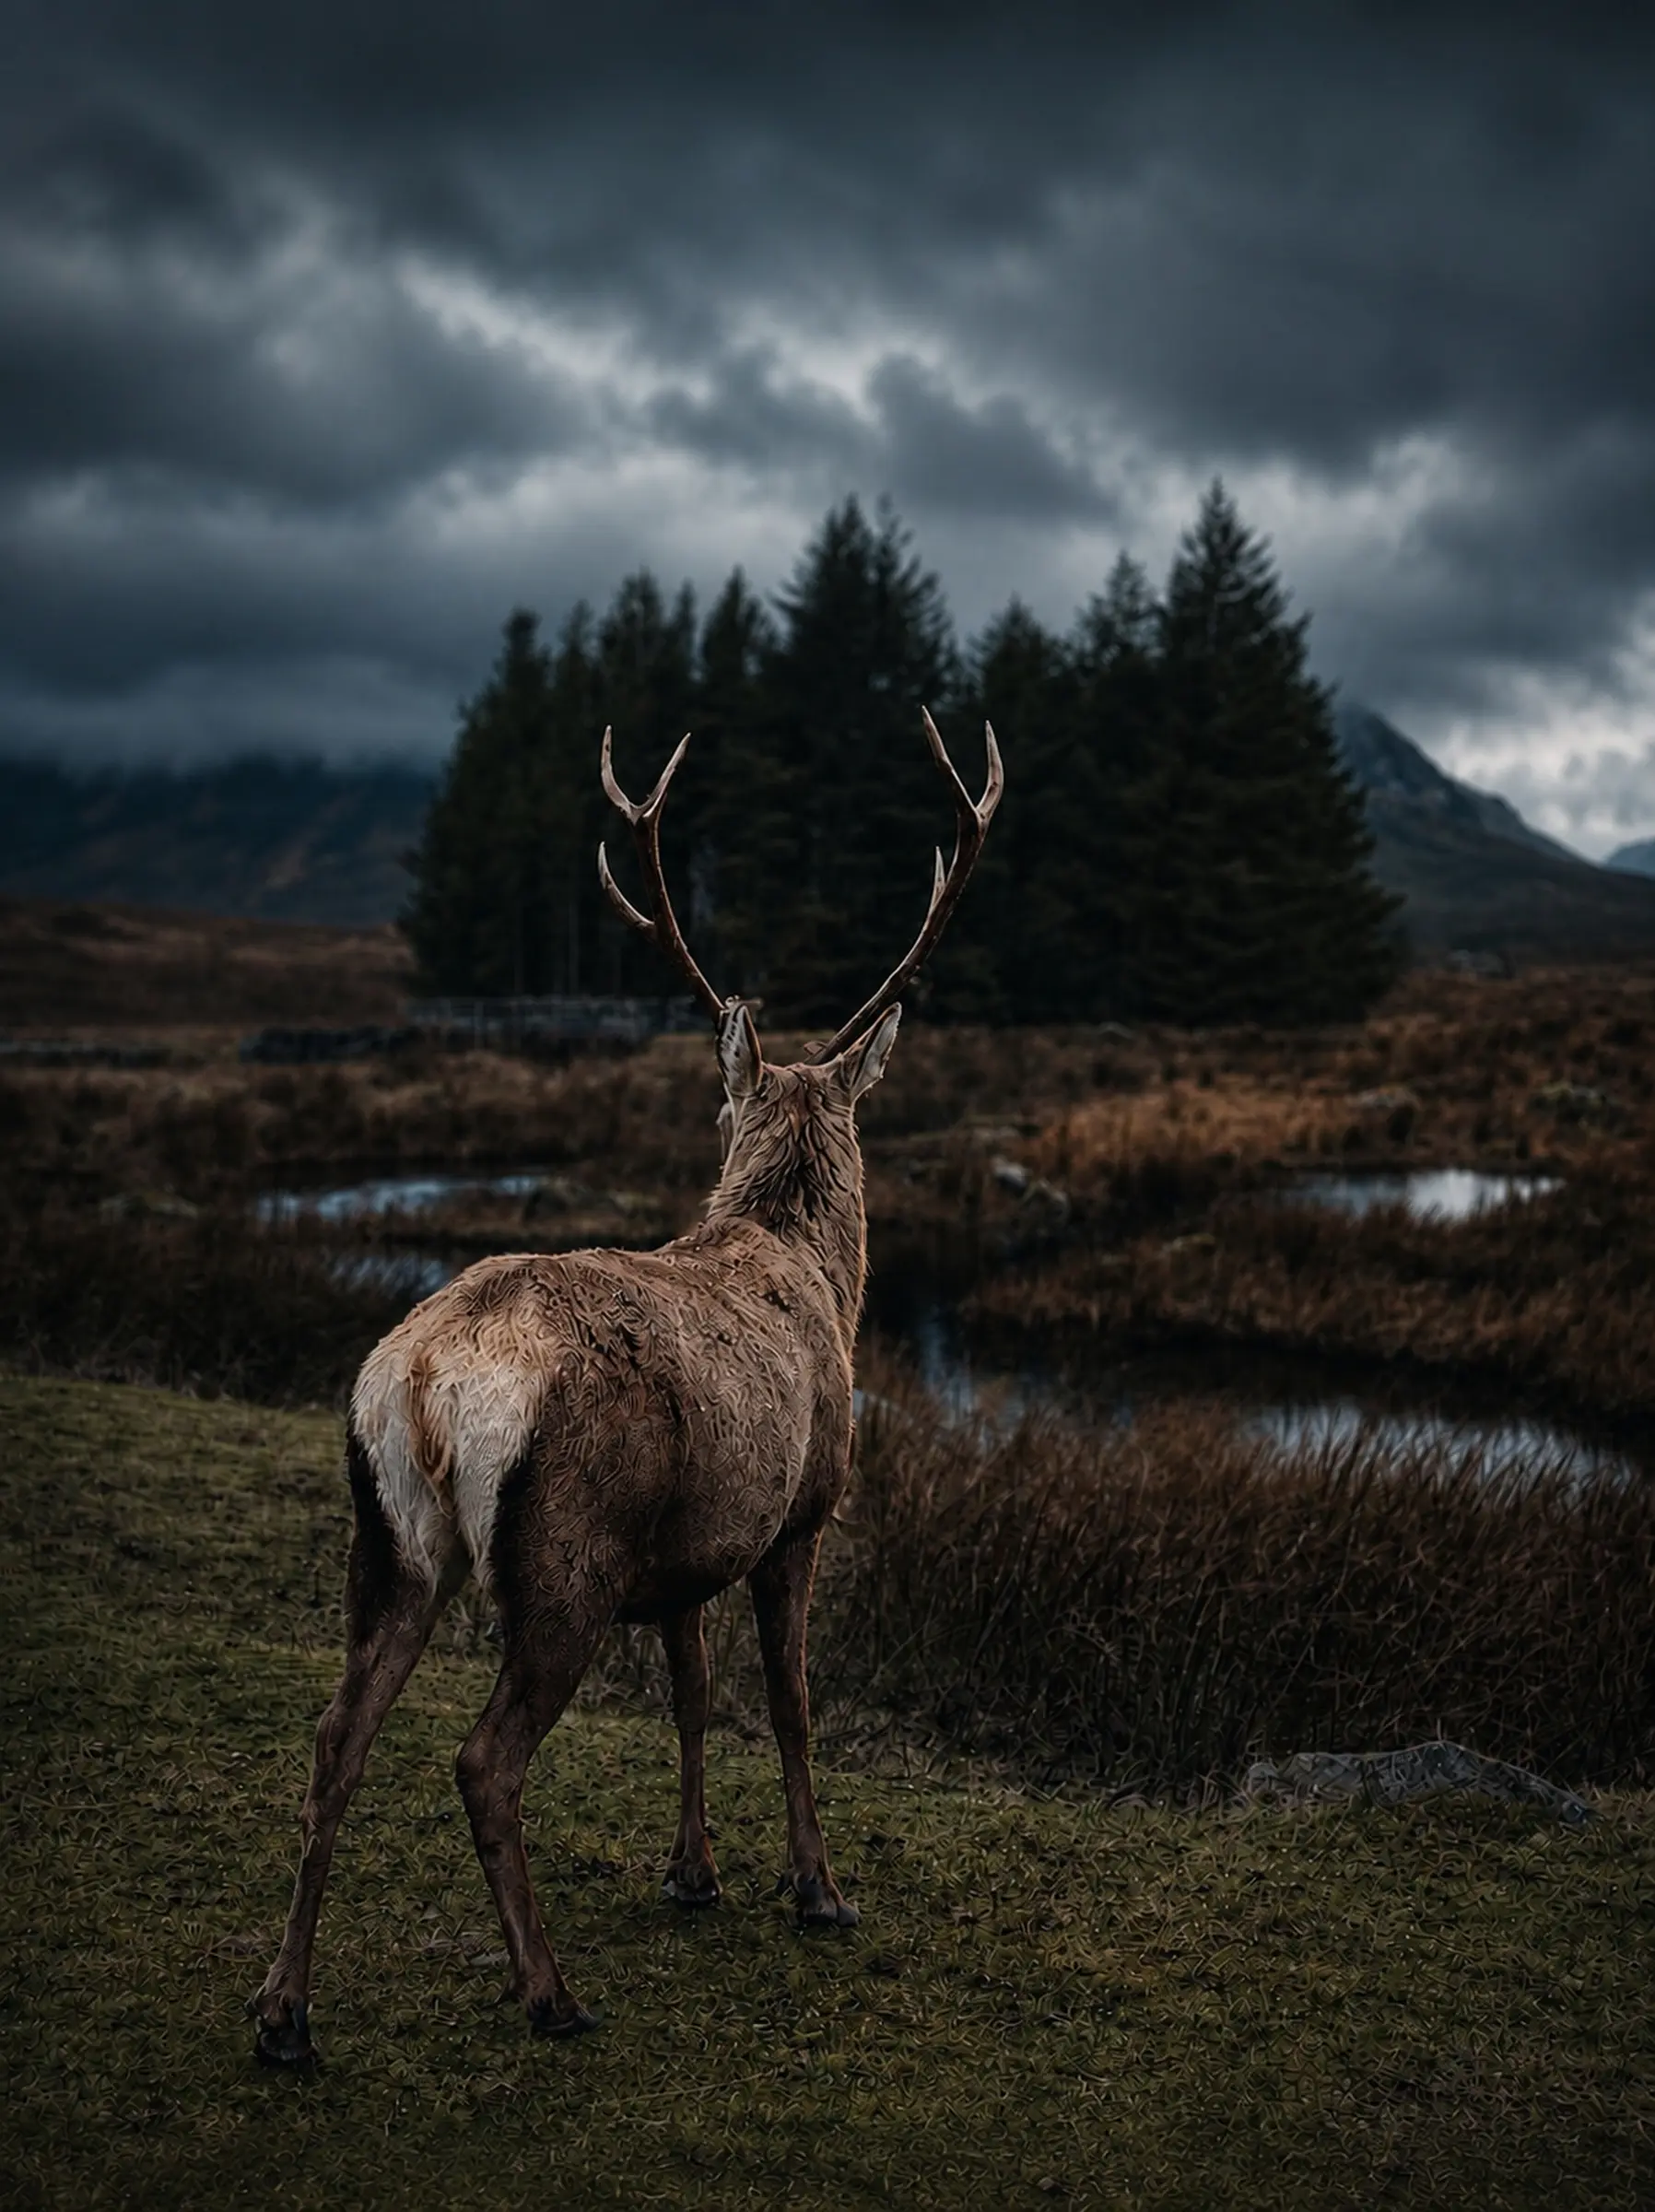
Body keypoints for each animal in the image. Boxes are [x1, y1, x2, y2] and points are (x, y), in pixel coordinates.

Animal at [252, 708, 1002, 2064]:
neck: (821, 1275)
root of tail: (431, 1375)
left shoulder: (686, 1551)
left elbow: (693, 1700)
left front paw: (692, 1873)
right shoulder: (799, 1514)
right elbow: (791, 1702)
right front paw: (817, 1890)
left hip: (389, 1536)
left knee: (335, 1736)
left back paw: (284, 2009)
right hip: (564, 1551)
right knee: (483, 1759)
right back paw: (547, 1992)